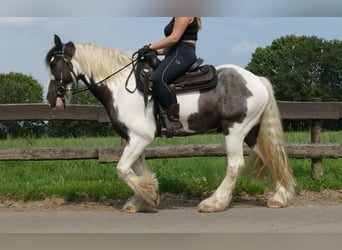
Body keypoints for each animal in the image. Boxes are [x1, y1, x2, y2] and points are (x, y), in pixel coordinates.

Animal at [46, 34, 296, 212]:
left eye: (55, 64)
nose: (50, 99)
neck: (121, 87)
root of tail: (257, 80)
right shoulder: (134, 140)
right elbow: (137, 168)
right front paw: (143, 198)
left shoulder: (139, 138)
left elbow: (123, 169)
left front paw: (148, 195)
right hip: (251, 133)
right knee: (272, 156)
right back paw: (280, 197)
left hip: (234, 130)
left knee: (235, 165)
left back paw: (213, 203)